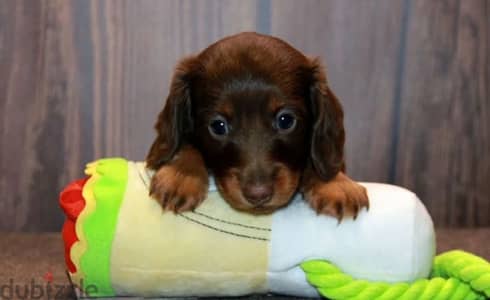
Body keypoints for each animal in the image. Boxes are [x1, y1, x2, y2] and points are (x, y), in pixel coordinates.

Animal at [145, 32, 368, 220]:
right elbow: (187, 143)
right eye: (218, 126)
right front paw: (181, 175)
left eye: (286, 120)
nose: (258, 195)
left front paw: (336, 184)